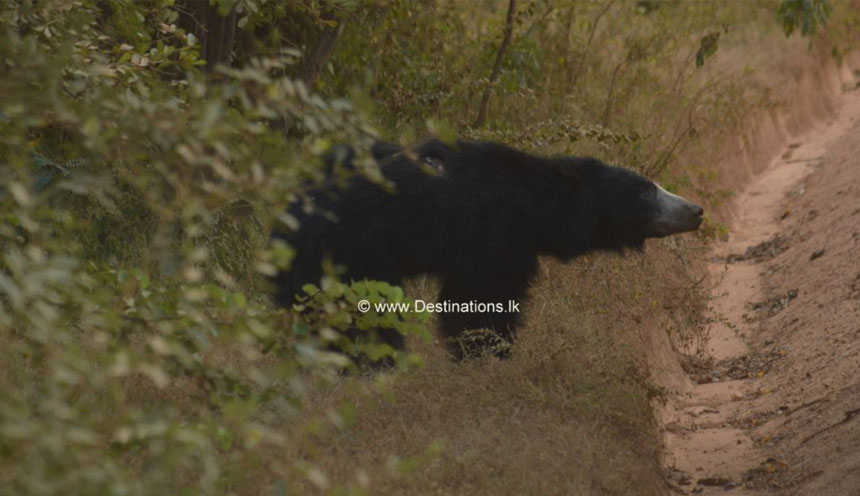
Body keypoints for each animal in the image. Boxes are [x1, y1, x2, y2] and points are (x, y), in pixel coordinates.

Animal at [272, 140, 704, 360]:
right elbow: (483, 299)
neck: (535, 206)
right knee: (361, 315)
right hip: (354, 250)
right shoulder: (492, 233)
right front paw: (486, 353)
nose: (696, 211)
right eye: (645, 192)